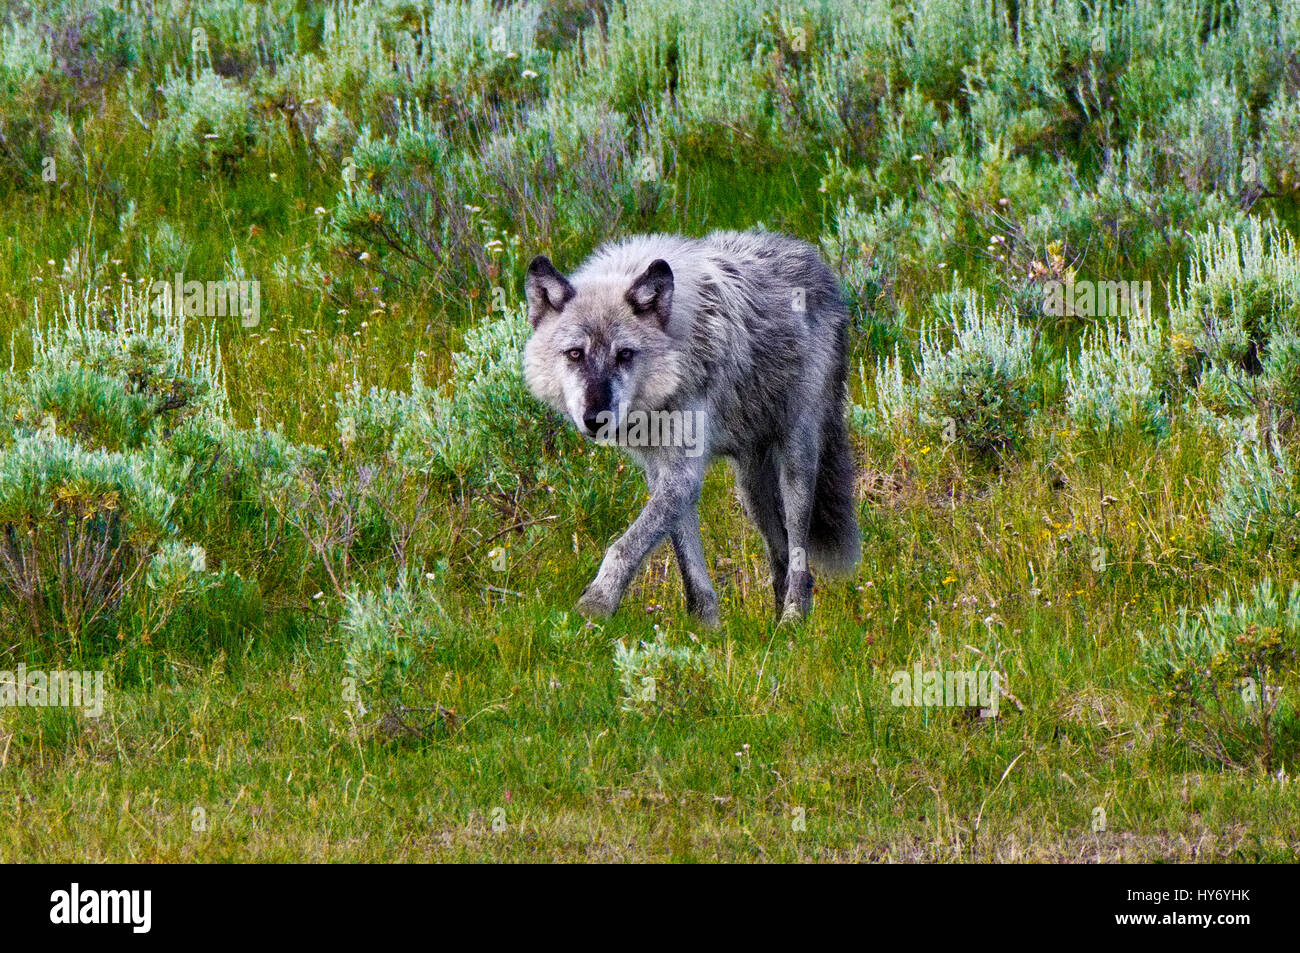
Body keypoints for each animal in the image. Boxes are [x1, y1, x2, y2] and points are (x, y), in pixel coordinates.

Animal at [522, 230, 857, 624]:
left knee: (800, 556)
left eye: (624, 355)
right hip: (751, 491)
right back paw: (774, 628)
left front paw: (594, 608)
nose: (596, 418)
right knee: (780, 556)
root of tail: (816, 262)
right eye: (575, 354)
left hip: (796, 464)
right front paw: (705, 625)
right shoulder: (660, 470)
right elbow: (686, 560)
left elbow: (623, 547)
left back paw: (792, 620)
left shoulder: (683, 474)